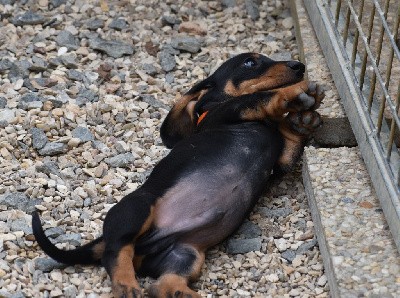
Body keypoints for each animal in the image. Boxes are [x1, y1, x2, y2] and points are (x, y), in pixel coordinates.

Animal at [32, 53, 324, 298]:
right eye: (250, 62)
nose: (299, 66)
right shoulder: (228, 112)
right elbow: (258, 98)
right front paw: (293, 93)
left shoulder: (279, 164)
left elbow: (289, 142)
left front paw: (302, 122)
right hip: (137, 209)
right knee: (116, 253)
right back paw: (126, 285)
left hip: (185, 254)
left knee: (162, 285)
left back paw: (185, 294)